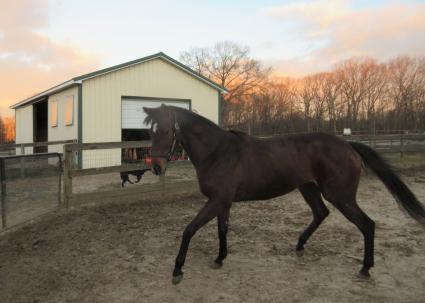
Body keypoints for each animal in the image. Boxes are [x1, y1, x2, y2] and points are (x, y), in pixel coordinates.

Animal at [143, 104, 424, 284]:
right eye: (149, 131)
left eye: (165, 131)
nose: (156, 167)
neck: (218, 151)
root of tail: (348, 145)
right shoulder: (223, 202)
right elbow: (222, 230)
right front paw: (220, 258)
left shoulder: (216, 201)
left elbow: (189, 230)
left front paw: (178, 270)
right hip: (309, 188)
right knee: (321, 213)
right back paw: (299, 246)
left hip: (341, 196)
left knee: (367, 224)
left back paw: (365, 268)